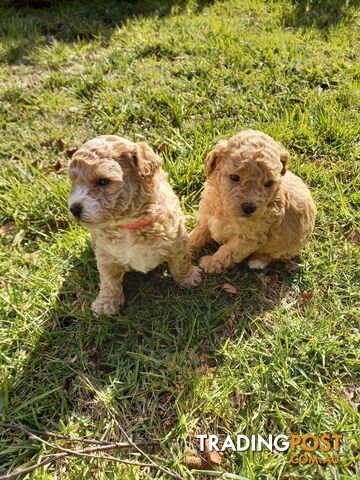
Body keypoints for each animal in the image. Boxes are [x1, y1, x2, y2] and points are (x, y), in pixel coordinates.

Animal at [68, 135, 202, 316]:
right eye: (73, 183)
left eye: (103, 181)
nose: (74, 208)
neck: (128, 224)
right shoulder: (106, 256)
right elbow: (109, 281)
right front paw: (106, 304)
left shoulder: (177, 241)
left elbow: (181, 262)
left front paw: (188, 278)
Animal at [190, 129, 316, 272]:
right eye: (234, 177)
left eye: (268, 183)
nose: (249, 208)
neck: (224, 209)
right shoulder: (207, 214)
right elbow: (198, 232)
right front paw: (187, 245)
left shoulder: (248, 238)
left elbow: (227, 251)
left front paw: (210, 263)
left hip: (289, 246)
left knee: (273, 255)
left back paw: (258, 261)